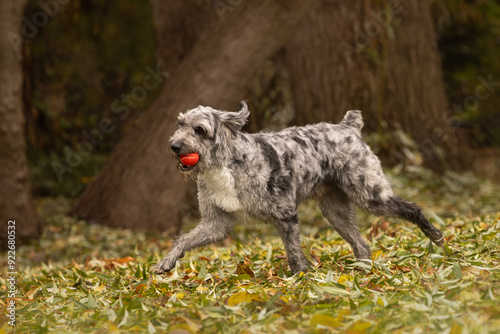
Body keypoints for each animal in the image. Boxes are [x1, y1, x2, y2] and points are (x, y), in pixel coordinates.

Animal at [151, 103, 442, 276]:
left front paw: (299, 276)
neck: (226, 164)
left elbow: (293, 250)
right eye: (180, 124)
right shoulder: (215, 224)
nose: (175, 146)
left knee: (411, 208)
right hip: (336, 211)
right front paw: (166, 262)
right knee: (362, 244)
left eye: (200, 129)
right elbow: (183, 240)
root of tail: (347, 127)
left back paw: (435, 235)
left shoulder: (285, 214)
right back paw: (362, 272)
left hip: (370, 195)